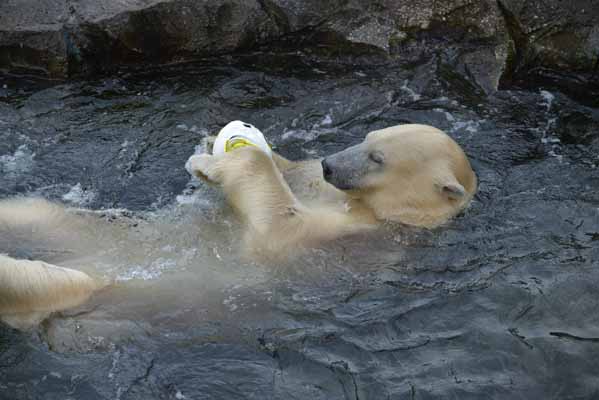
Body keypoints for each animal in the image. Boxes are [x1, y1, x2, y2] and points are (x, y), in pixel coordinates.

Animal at [188, 123, 478, 258]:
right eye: (367, 136)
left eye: (377, 158)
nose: (327, 165)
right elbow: (293, 172)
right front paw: (212, 141)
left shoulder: (351, 230)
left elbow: (280, 227)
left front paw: (203, 164)